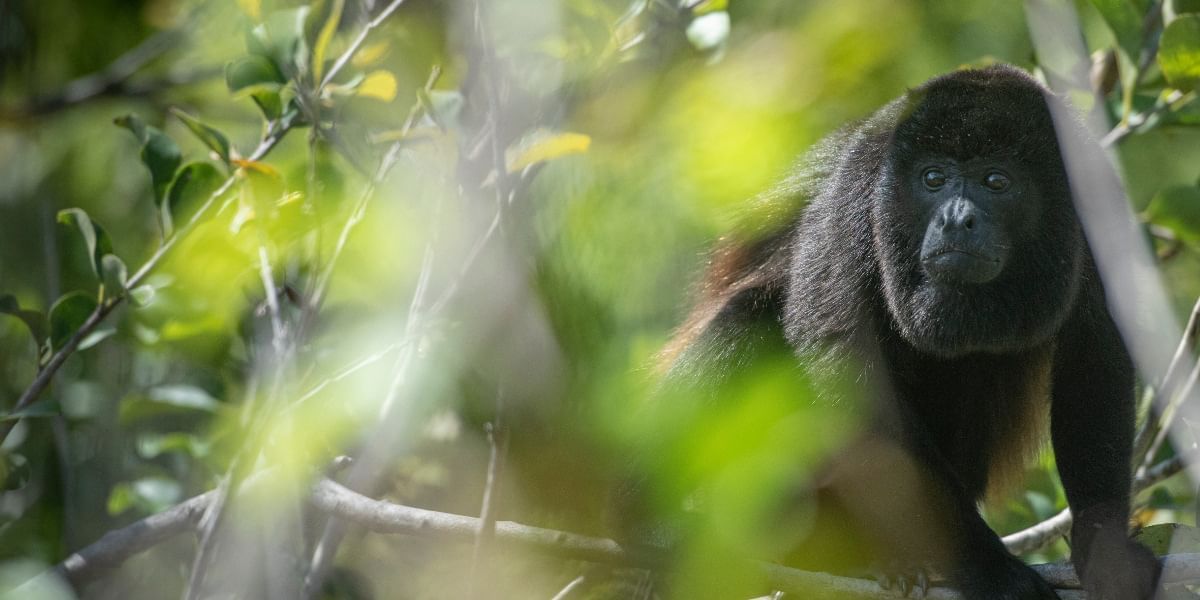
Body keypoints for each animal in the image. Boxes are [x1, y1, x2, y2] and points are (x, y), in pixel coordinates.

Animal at [657, 63, 1161, 597]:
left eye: (996, 181)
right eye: (933, 179)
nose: (956, 220)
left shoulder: (1099, 207)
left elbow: (1095, 362)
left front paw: (1107, 554)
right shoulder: (852, 198)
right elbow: (849, 370)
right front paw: (994, 571)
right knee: (747, 318)